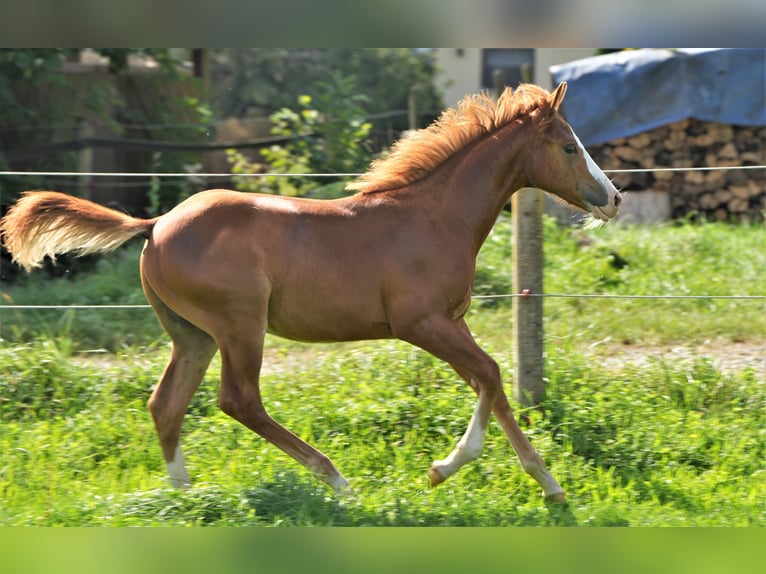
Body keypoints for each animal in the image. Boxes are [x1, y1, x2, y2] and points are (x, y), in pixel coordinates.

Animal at [0, 83, 620, 506]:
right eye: (568, 146)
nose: (613, 197)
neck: (433, 217)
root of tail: (154, 225)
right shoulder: (421, 324)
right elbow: (490, 375)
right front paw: (446, 469)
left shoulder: (452, 322)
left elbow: (490, 385)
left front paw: (549, 485)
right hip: (239, 324)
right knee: (239, 400)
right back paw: (335, 480)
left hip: (193, 335)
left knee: (166, 404)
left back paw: (186, 497)